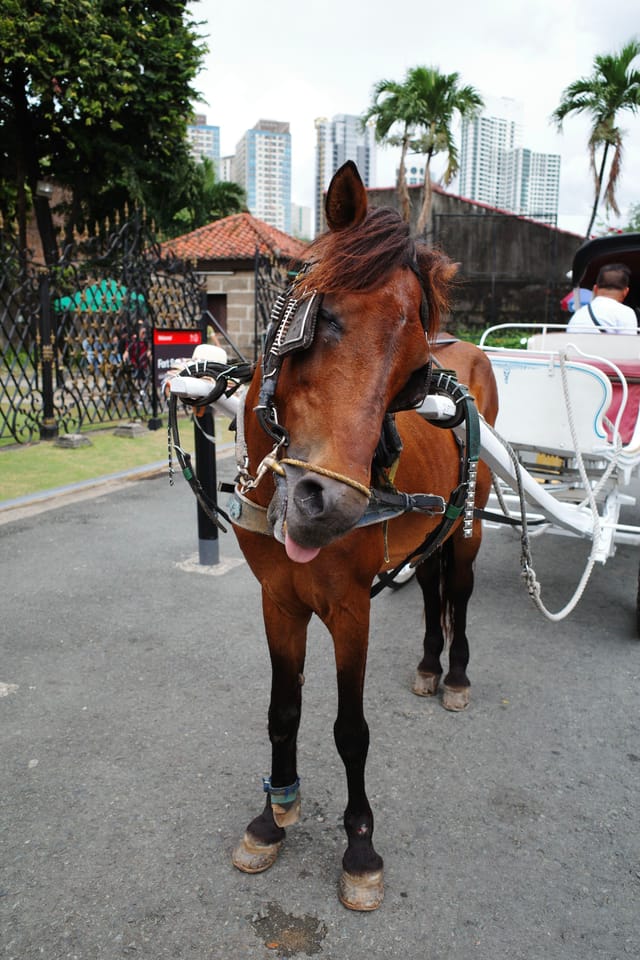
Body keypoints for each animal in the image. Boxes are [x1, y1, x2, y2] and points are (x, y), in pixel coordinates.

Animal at [228, 160, 498, 911]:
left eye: (410, 371)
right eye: (321, 319)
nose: (330, 506)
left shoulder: (350, 608)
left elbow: (351, 730)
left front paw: (359, 847)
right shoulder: (278, 600)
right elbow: (283, 708)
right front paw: (272, 815)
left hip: (468, 528)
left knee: (459, 590)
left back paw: (455, 673)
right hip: (425, 533)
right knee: (431, 584)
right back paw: (430, 664)